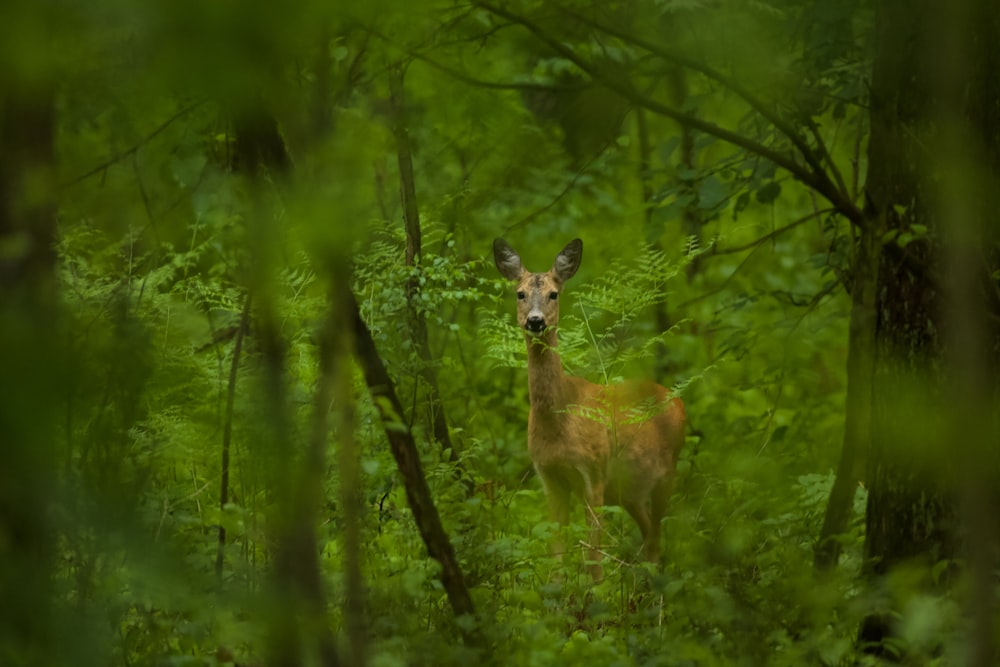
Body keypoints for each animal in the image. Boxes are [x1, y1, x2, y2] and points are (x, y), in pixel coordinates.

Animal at [494, 237, 688, 576]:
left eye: (553, 293)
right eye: (519, 293)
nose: (535, 321)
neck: (558, 422)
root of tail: (675, 398)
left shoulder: (594, 473)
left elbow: (593, 554)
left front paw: (595, 589)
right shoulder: (550, 478)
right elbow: (557, 553)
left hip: (667, 473)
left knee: (656, 536)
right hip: (630, 490)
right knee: (650, 535)